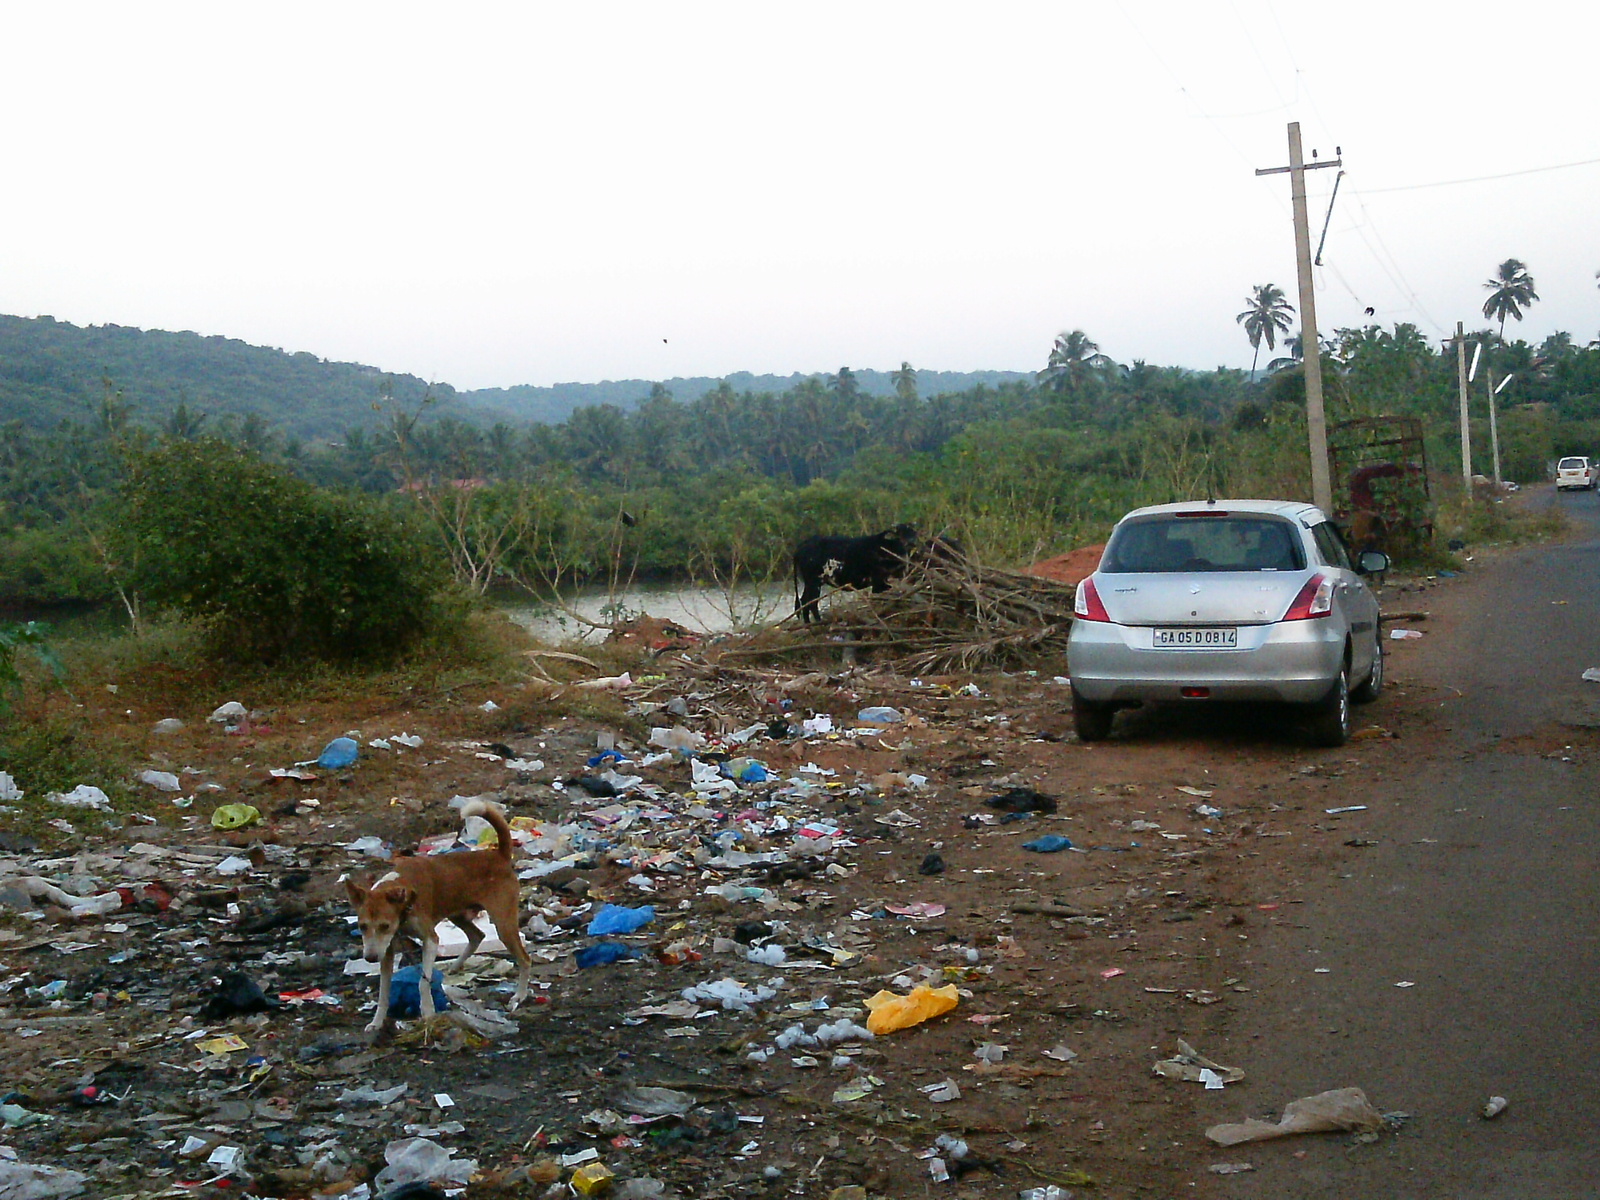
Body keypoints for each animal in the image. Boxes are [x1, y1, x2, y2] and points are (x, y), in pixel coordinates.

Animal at [342, 800, 531, 1036]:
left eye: (385, 926)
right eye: (362, 926)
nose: (370, 958)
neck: (403, 894)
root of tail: (499, 855)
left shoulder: (430, 940)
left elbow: (423, 981)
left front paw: (428, 1012)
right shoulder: (387, 951)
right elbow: (384, 991)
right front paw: (377, 1021)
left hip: (503, 924)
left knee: (524, 959)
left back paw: (519, 996)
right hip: (458, 914)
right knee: (476, 935)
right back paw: (455, 966)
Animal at [793, 524, 921, 624]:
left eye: (913, 532)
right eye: (900, 533)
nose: (912, 542)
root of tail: (803, 544)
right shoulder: (878, 582)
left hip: (810, 582)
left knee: (804, 601)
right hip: (814, 581)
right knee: (811, 602)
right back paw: (817, 622)